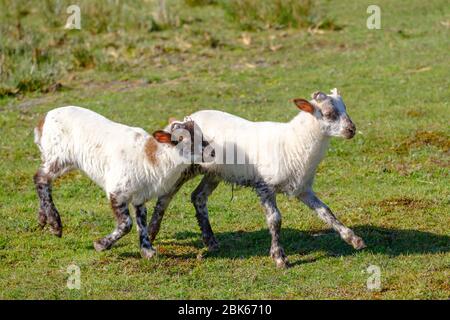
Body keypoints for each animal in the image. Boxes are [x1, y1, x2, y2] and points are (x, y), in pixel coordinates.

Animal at [33, 106, 209, 258]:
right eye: (184, 139)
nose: (212, 152)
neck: (151, 157)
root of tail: (44, 119)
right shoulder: (116, 191)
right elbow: (127, 224)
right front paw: (101, 245)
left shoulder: (139, 195)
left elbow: (142, 221)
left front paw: (147, 251)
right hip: (59, 156)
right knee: (40, 178)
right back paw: (55, 225)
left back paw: (43, 220)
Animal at [149, 89, 368, 268]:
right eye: (329, 114)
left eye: (345, 108)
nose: (352, 130)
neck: (293, 143)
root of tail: (185, 119)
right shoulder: (265, 186)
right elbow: (275, 219)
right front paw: (279, 257)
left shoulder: (303, 188)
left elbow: (326, 212)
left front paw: (353, 239)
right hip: (186, 168)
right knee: (165, 198)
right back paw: (151, 234)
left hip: (215, 172)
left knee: (198, 197)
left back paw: (210, 241)